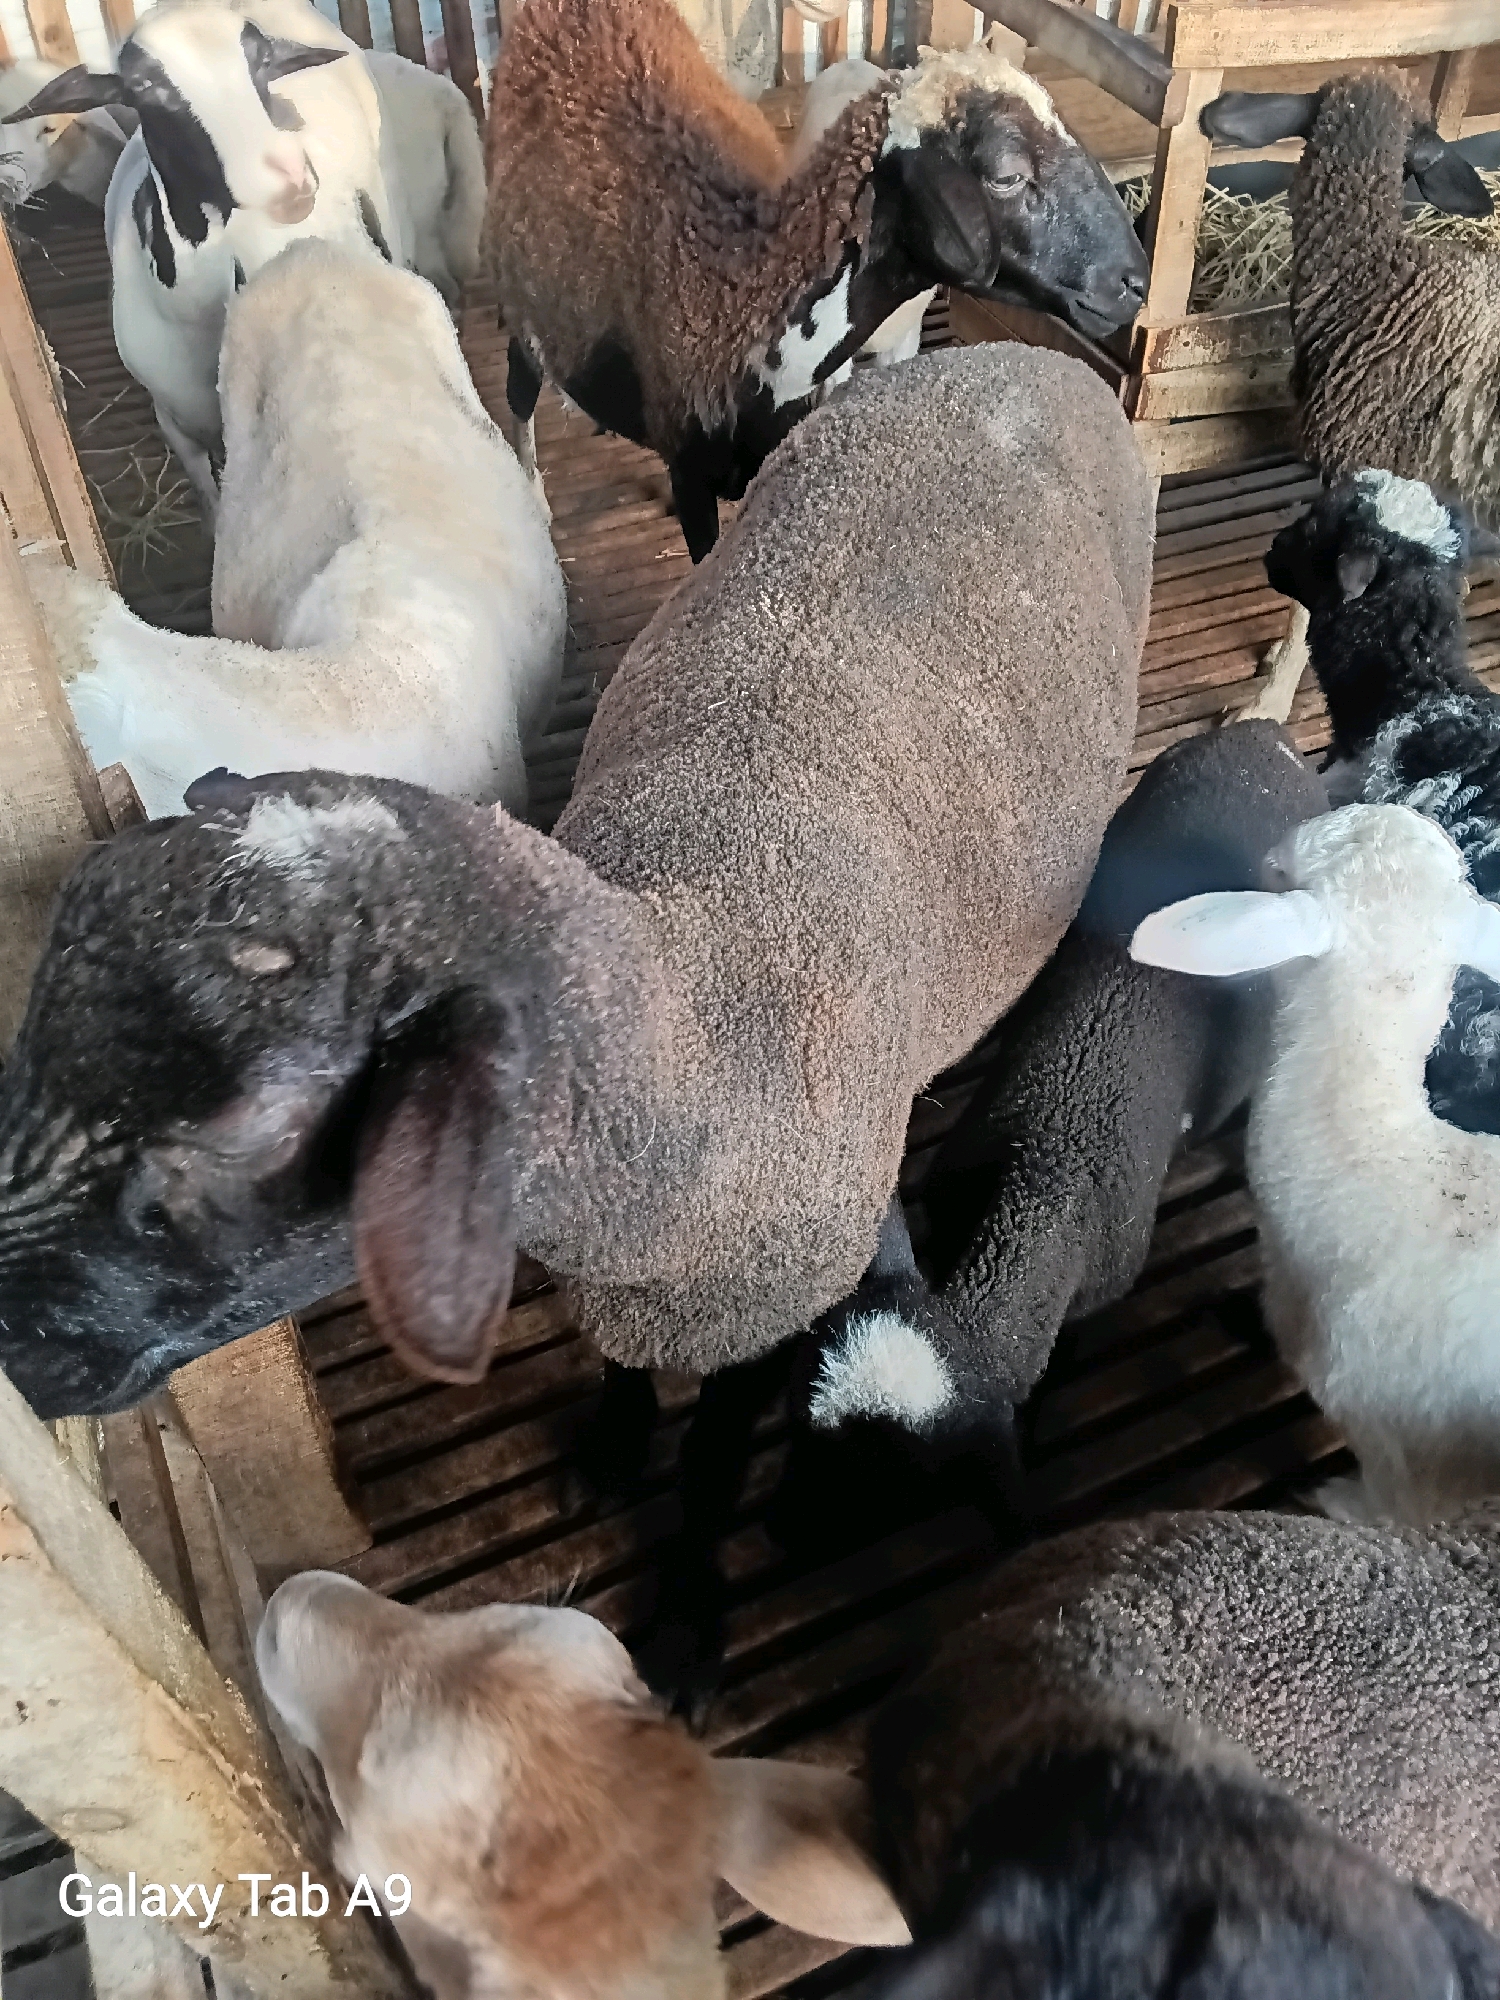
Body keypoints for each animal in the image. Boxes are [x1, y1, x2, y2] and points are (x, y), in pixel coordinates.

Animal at [5, 0, 485, 514]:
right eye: (143, 88)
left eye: (264, 62)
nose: (291, 178)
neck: (194, 315)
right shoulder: (176, 426)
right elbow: (210, 504)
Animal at [486, 0, 1148, 558]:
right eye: (1007, 175)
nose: (1135, 282)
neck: (745, 295)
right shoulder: (691, 472)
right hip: (518, 294)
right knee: (519, 395)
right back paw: (535, 497)